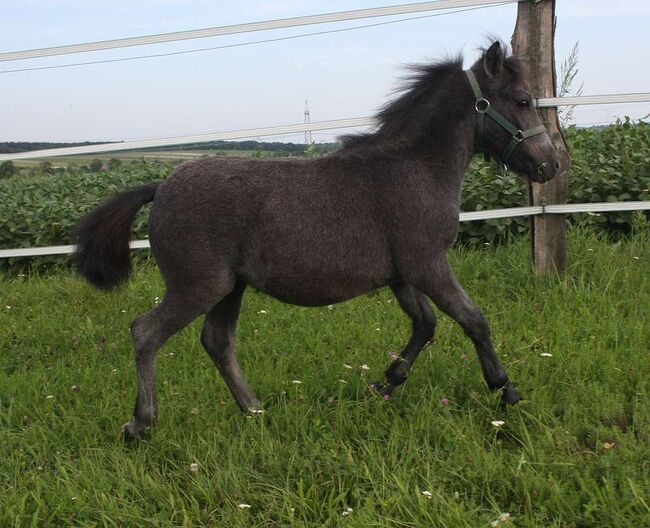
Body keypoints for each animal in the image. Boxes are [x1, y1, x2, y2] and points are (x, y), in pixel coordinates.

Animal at [78, 41, 560, 440]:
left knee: (217, 341)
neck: (414, 168)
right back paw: (140, 424)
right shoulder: (428, 264)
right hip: (198, 286)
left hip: (229, 288)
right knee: (146, 332)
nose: (551, 165)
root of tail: (160, 187)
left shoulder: (402, 276)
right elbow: (473, 320)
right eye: (522, 100)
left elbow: (425, 325)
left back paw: (255, 410)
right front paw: (506, 389)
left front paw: (383, 384)